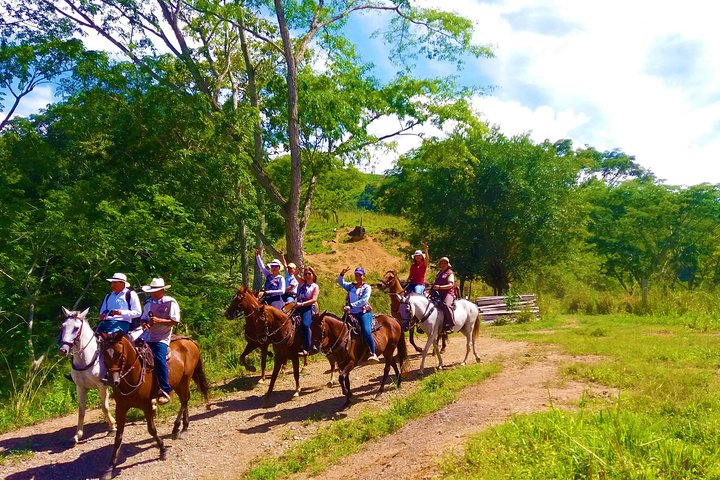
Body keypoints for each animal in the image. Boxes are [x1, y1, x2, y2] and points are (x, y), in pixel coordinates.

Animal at [58, 307, 116, 445]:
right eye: (63, 326)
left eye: (76, 328)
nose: (63, 350)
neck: (86, 359)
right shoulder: (80, 387)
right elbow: (81, 411)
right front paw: (77, 435)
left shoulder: (102, 386)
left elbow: (104, 407)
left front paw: (112, 427)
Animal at [98, 331, 211, 480]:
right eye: (104, 354)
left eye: (120, 354)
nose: (113, 381)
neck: (133, 374)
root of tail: (189, 340)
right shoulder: (120, 408)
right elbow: (118, 437)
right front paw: (110, 467)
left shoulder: (146, 405)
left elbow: (151, 430)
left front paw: (162, 450)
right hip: (178, 382)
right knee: (184, 400)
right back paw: (181, 428)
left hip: (186, 378)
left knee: (185, 400)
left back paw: (179, 429)